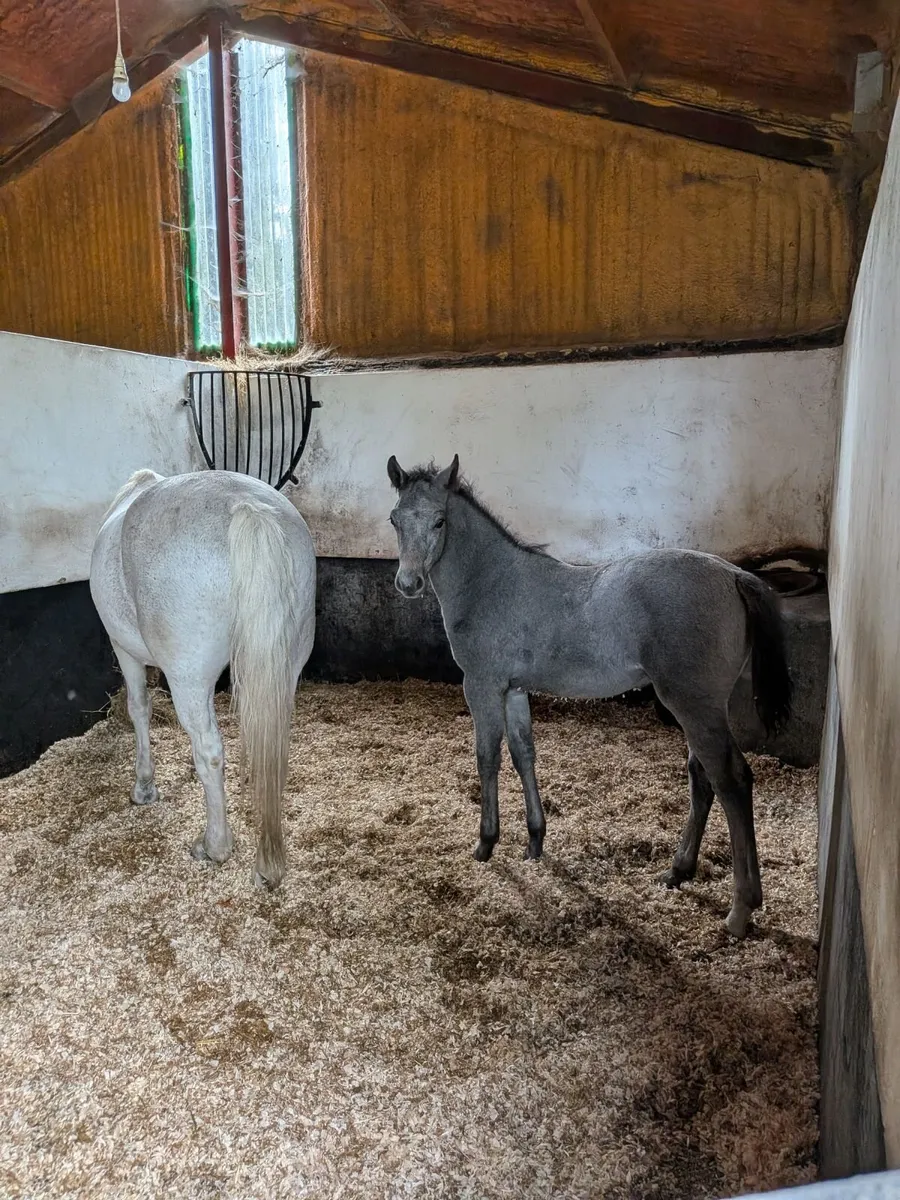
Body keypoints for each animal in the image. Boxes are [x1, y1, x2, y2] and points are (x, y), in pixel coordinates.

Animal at [89, 469, 316, 889]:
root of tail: (245, 505)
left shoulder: (123, 650)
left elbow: (139, 708)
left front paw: (144, 786)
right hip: (284, 670)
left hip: (189, 679)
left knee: (209, 750)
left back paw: (215, 846)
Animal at [386, 454, 792, 939]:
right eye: (395, 519)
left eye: (439, 521)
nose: (408, 583)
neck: (494, 582)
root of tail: (733, 574)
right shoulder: (515, 690)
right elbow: (524, 753)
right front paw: (535, 840)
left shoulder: (482, 684)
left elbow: (487, 756)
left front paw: (486, 843)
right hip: (709, 708)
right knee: (702, 778)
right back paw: (678, 871)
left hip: (693, 706)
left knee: (732, 781)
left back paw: (740, 910)